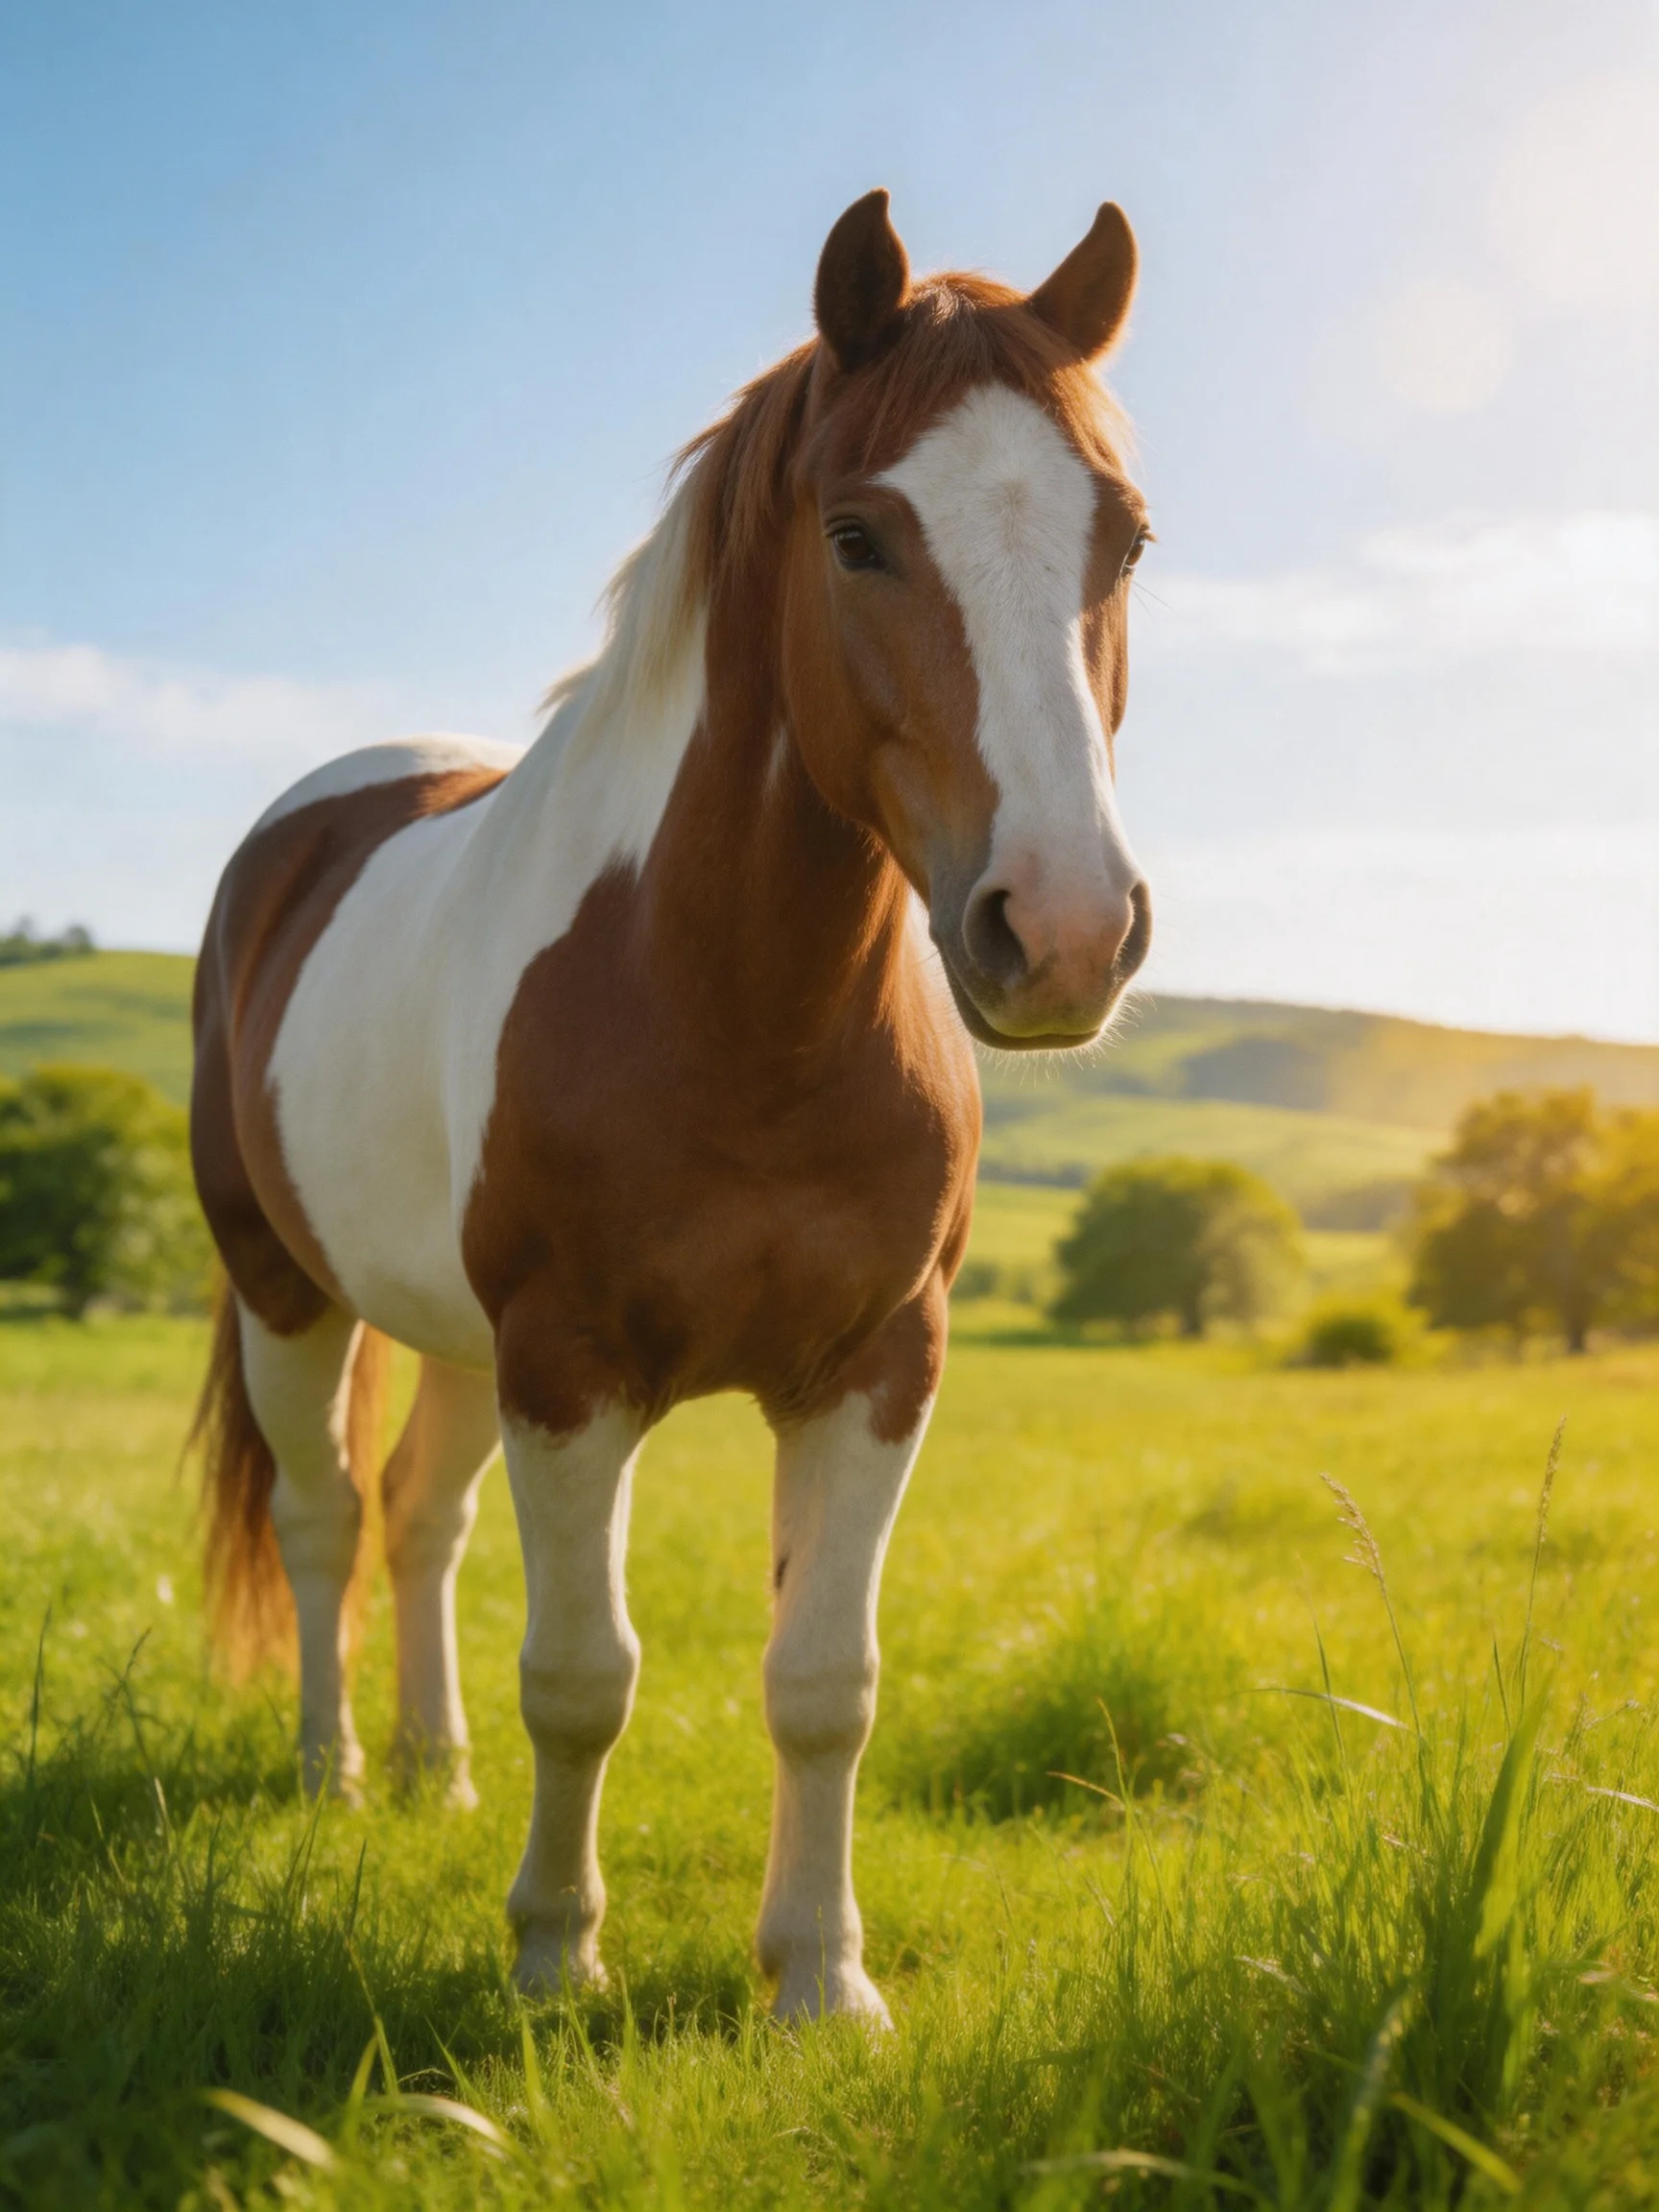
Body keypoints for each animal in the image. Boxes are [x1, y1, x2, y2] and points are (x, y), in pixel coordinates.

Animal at [188, 188, 1152, 2024]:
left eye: (1123, 536)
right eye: (856, 536)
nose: (1063, 930)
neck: (732, 1002)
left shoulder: (874, 1370)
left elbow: (823, 1680)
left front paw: (819, 1980)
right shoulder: (574, 1370)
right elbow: (583, 1672)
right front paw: (555, 1960)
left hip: (458, 1337)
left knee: (419, 1519)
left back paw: (431, 1770)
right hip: (295, 1294)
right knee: (326, 1518)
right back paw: (332, 1776)